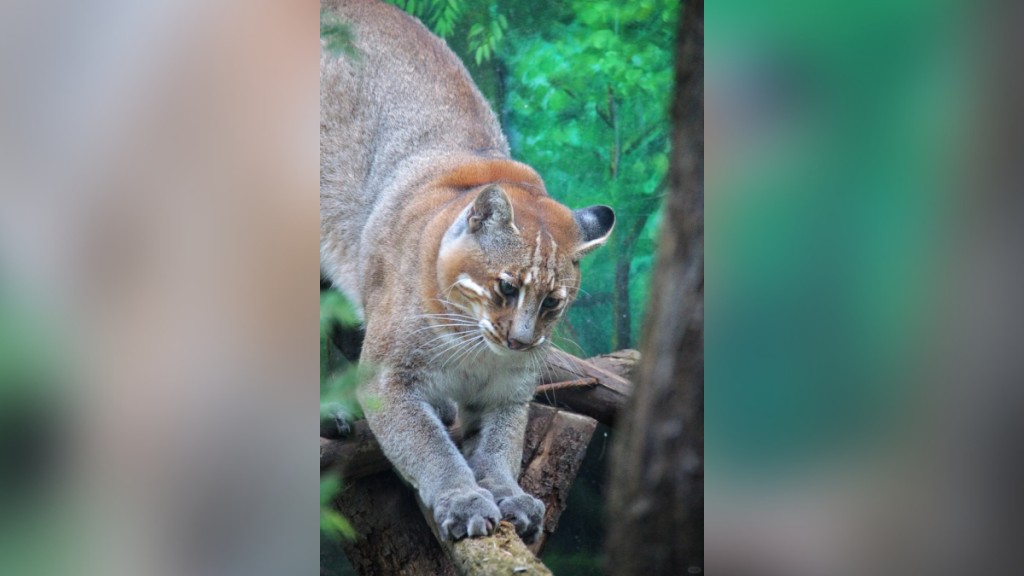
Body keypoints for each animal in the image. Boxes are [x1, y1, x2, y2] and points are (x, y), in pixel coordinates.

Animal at [319, 0, 610, 541]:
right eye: (507, 287)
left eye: (553, 302)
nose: (521, 340)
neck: (473, 347)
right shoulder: (390, 380)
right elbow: (430, 449)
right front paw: (464, 499)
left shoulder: (508, 393)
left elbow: (499, 447)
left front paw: (509, 492)